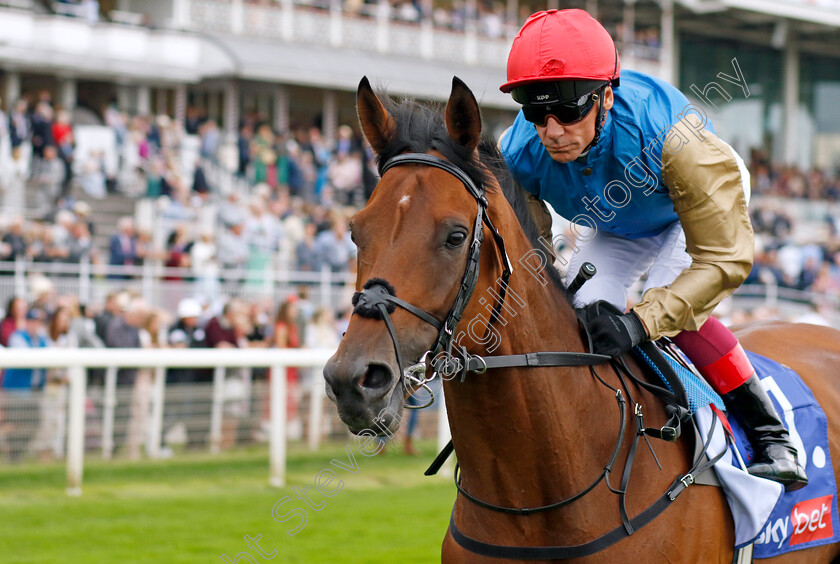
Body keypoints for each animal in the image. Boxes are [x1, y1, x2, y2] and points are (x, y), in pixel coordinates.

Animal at [324, 76, 840, 564]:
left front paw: (616, 328)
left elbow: (720, 260)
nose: (354, 379)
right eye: (355, 230)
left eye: (454, 236)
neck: (535, 501)